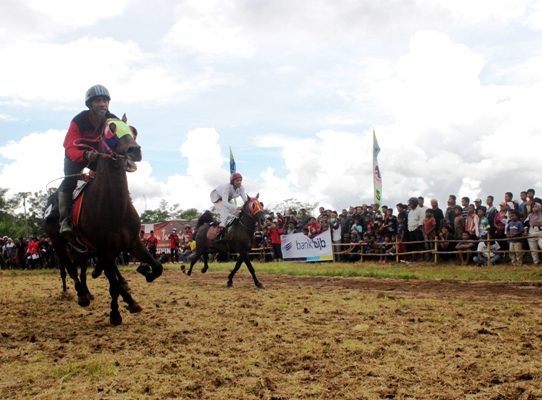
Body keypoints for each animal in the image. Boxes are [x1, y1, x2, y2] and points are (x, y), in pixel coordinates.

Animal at [43, 115, 163, 324]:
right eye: (110, 129)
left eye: (133, 130)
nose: (134, 150)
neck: (114, 208)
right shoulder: (105, 250)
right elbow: (112, 285)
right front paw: (115, 313)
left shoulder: (132, 242)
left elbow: (157, 267)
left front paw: (144, 271)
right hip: (58, 244)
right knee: (69, 268)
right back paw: (81, 294)